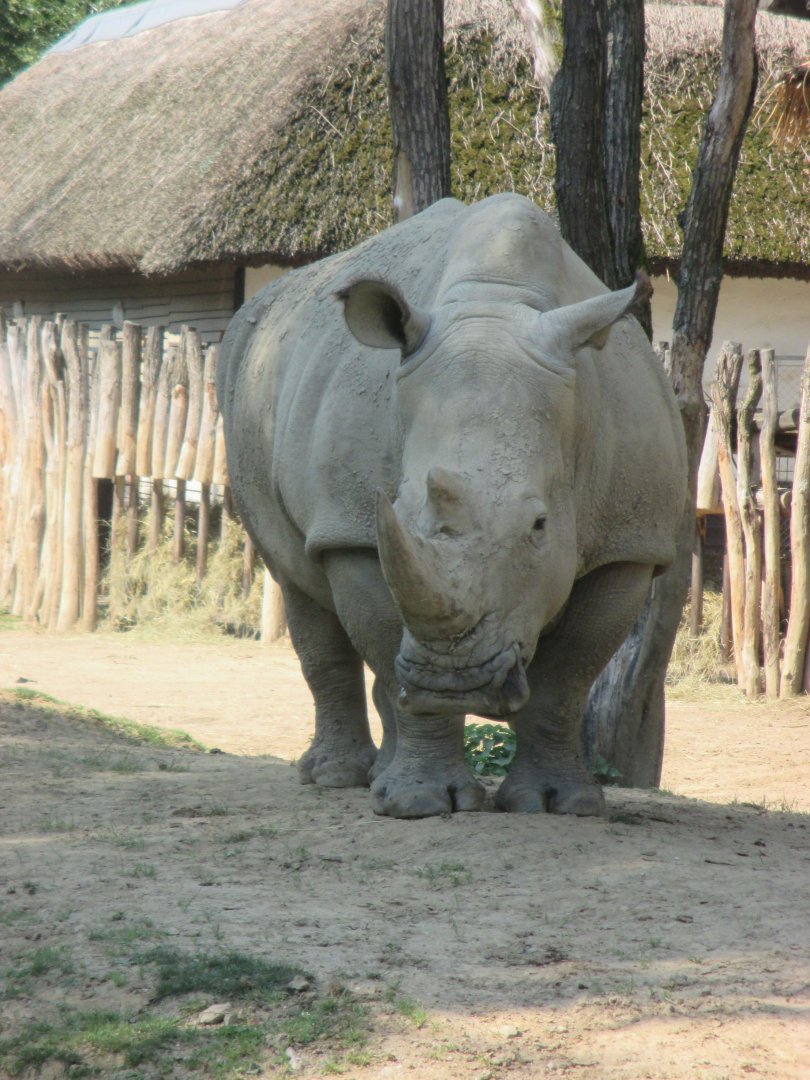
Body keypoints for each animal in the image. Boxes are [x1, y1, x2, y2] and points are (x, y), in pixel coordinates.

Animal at [218, 193, 687, 819]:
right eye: (399, 510)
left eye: (540, 525)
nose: (454, 680)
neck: (497, 305)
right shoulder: (352, 531)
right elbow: (386, 638)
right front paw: (420, 802)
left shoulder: (629, 544)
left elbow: (568, 678)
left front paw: (558, 803)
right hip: (243, 381)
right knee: (297, 584)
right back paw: (339, 777)